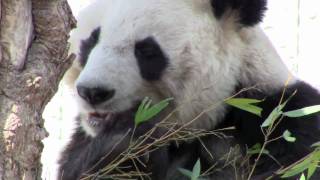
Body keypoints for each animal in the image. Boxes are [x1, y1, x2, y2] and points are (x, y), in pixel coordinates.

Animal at [58, 0, 320, 179]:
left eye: (146, 50)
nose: (93, 92)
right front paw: (124, 144)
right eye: (91, 41)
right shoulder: (82, 140)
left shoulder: (283, 121)